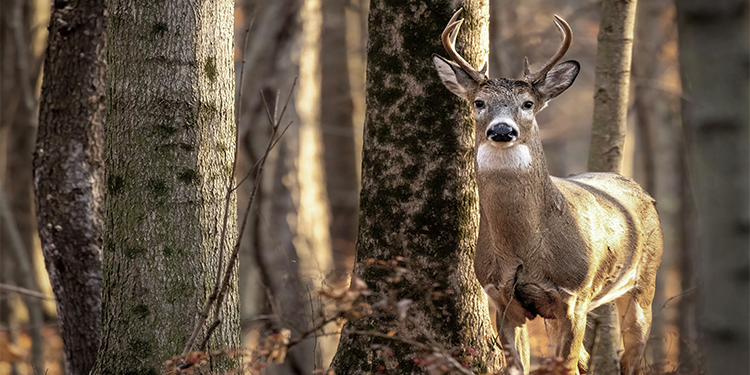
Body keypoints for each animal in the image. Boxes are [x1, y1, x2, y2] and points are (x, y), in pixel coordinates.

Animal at [434, 8, 664, 375]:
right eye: (479, 102)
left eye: (528, 103)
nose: (502, 130)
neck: (523, 247)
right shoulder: (500, 300)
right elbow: (519, 366)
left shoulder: (573, 297)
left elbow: (565, 365)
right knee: (589, 358)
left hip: (644, 283)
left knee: (631, 358)